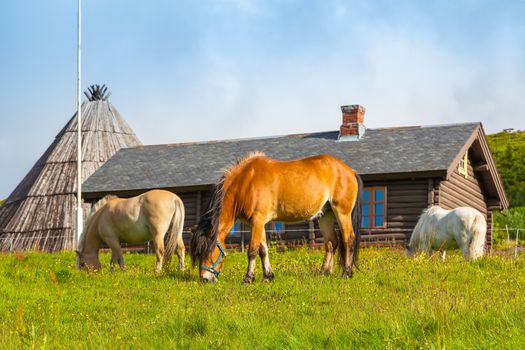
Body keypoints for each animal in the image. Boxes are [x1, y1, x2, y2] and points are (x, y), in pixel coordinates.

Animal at [190, 152, 362, 284]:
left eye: (208, 252)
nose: (205, 279)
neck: (246, 182)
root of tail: (350, 171)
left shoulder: (258, 221)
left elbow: (252, 250)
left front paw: (248, 278)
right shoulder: (257, 223)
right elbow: (263, 250)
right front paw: (268, 276)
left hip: (342, 213)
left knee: (348, 239)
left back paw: (346, 273)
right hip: (325, 215)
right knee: (332, 242)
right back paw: (324, 272)